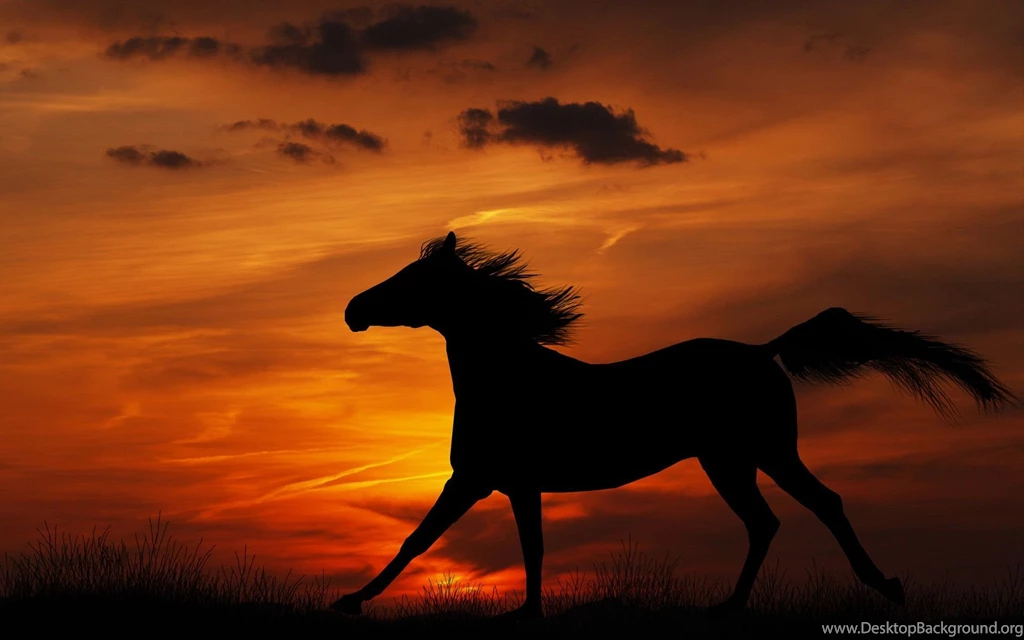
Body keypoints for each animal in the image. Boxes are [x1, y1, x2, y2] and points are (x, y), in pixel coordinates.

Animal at [330, 231, 1016, 618]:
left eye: (413, 280)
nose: (352, 310)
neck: (506, 377)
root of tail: (763, 350)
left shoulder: (478, 480)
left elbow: (422, 541)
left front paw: (350, 601)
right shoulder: (510, 484)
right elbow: (521, 546)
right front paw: (525, 613)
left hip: (756, 453)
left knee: (815, 505)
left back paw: (875, 587)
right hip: (734, 459)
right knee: (771, 520)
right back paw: (733, 604)